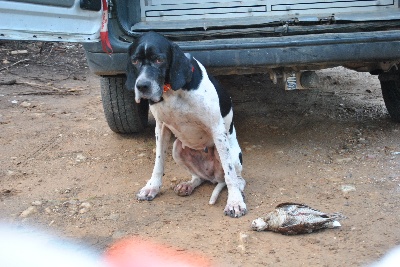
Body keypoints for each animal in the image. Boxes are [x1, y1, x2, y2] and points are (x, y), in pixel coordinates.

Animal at [126, 32, 247, 219]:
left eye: (159, 59)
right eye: (135, 60)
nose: (142, 86)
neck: (171, 91)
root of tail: (213, 177)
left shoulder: (217, 130)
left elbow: (230, 175)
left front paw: (234, 202)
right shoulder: (161, 127)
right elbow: (158, 163)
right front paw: (152, 187)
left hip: (231, 154)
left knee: (236, 178)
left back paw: (237, 190)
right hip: (177, 148)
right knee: (199, 177)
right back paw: (189, 184)